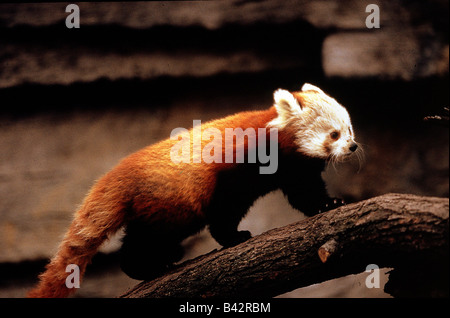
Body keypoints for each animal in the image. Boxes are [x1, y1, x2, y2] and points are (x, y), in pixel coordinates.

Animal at [27, 83, 358, 296]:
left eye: (350, 130)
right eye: (334, 134)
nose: (353, 146)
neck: (275, 138)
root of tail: (118, 174)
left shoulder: (294, 171)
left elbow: (305, 192)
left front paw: (328, 204)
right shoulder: (238, 166)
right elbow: (226, 208)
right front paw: (233, 237)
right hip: (169, 205)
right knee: (143, 240)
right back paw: (147, 266)